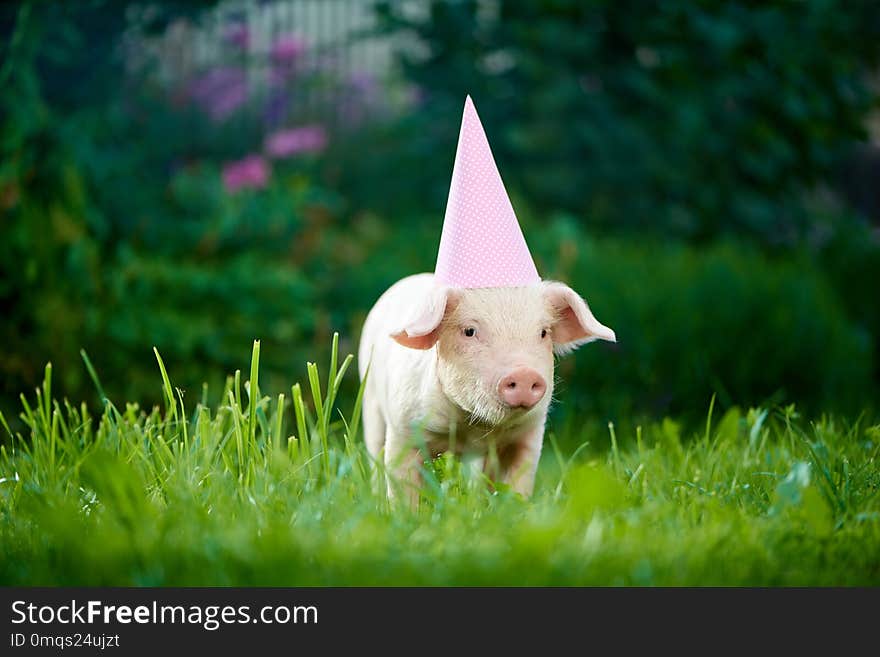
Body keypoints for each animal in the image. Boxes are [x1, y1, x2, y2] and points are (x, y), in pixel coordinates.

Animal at [356, 272, 612, 508]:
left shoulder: (529, 433)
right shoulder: (404, 427)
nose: (523, 373)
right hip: (370, 401)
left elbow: (518, 483)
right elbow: (401, 483)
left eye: (543, 333)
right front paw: (403, 513)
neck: (473, 430)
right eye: (469, 331)